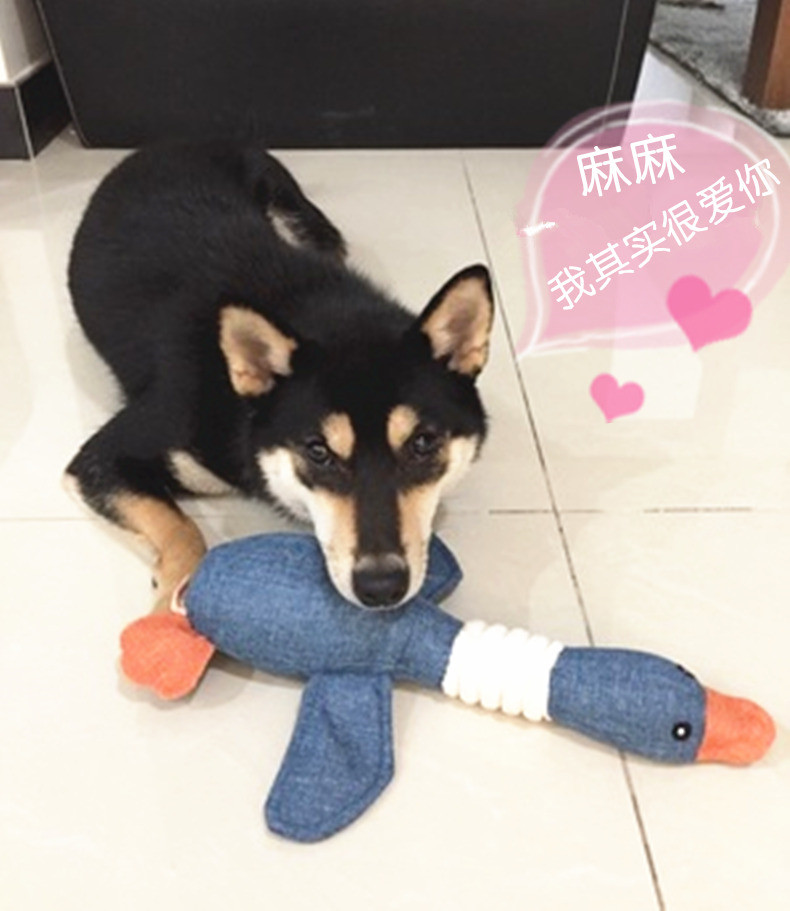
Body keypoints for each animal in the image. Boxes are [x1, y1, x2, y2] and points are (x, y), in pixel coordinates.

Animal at [65, 141, 494, 611]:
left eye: (423, 443)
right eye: (317, 451)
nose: (381, 587)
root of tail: (177, 141)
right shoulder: (103, 459)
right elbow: (185, 532)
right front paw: (168, 606)